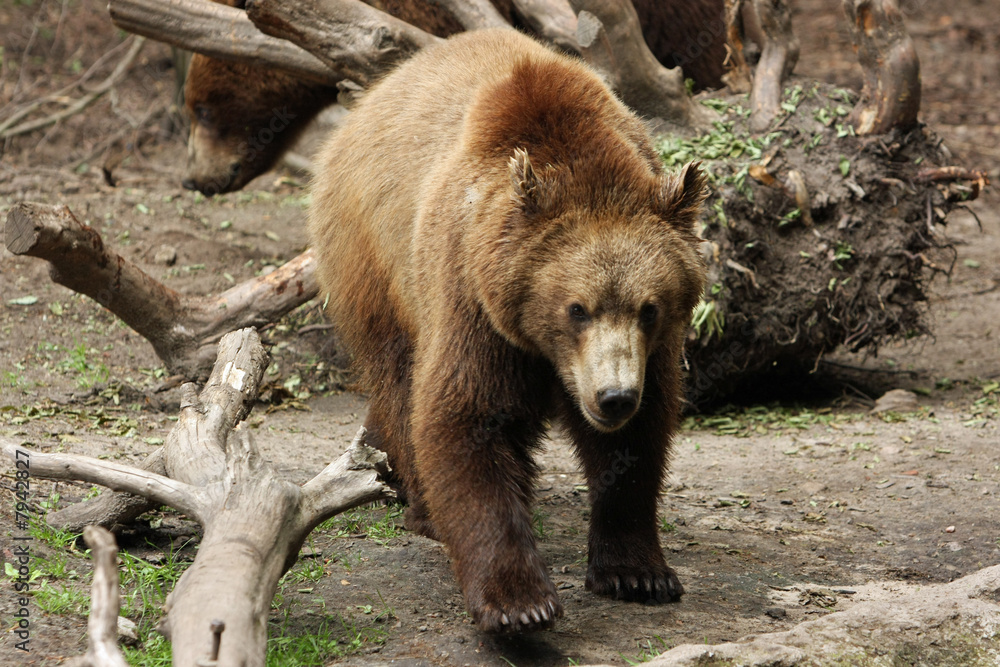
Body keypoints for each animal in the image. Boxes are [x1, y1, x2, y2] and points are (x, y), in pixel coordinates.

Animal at [309, 28, 708, 633]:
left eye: (649, 308)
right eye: (576, 308)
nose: (613, 397)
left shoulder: (650, 353)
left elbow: (639, 438)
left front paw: (638, 573)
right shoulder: (472, 297)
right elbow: (466, 417)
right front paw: (520, 603)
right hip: (373, 259)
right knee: (399, 378)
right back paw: (421, 504)